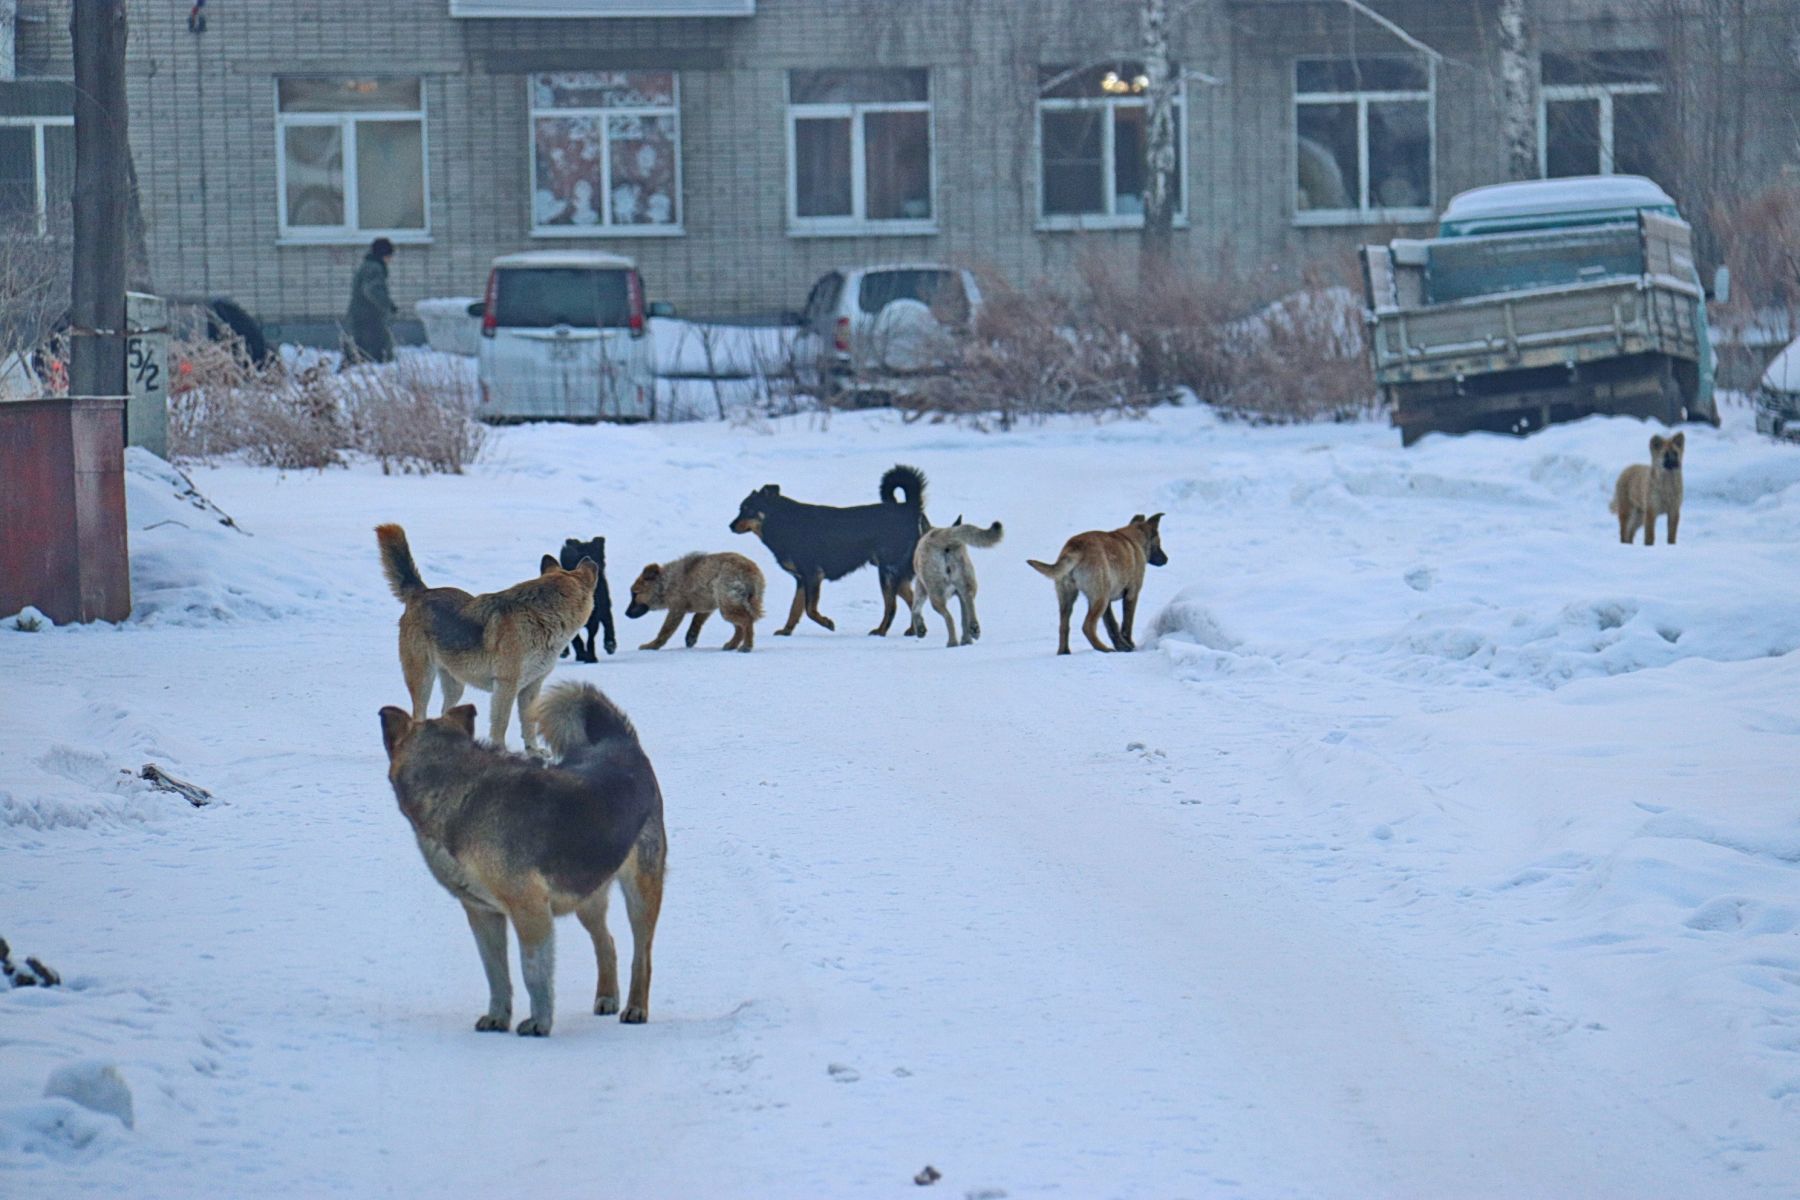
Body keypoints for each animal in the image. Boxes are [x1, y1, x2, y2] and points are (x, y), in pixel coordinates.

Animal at [372, 525, 597, 752]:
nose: (589, 558)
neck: (540, 617)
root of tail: (421, 592)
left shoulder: (532, 687)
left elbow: (529, 723)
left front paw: (534, 752)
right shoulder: (506, 685)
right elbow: (501, 724)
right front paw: (501, 752)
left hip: (455, 685)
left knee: (445, 712)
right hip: (423, 680)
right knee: (418, 716)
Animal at [622, 557, 763, 658]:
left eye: (635, 593)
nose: (626, 614)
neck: (665, 583)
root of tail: (749, 572)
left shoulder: (676, 609)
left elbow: (665, 631)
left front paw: (652, 646)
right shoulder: (708, 605)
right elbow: (697, 619)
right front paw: (691, 637)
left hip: (728, 608)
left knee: (747, 621)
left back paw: (746, 646)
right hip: (727, 605)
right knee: (740, 627)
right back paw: (732, 645)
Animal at [730, 464, 928, 636]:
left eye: (748, 509)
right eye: (741, 508)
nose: (730, 526)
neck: (781, 521)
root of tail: (909, 508)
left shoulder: (812, 575)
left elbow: (809, 609)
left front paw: (826, 622)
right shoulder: (802, 579)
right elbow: (795, 609)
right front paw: (786, 630)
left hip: (887, 571)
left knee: (891, 607)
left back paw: (881, 631)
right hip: (895, 573)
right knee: (912, 600)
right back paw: (915, 629)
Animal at [907, 518, 1008, 647]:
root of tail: (943, 534)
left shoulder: (921, 586)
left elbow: (915, 608)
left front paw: (920, 629)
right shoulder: (959, 594)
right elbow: (964, 618)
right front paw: (967, 639)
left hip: (936, 596)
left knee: (949, 618)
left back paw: (952, 642)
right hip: (967, 584)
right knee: (969, 602)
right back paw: (973, 630)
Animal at [1029, 510, 1166, 651]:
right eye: (1159, 543)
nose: (1166, 559)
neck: (1133, 540)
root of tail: (1075, 548)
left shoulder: (1108, 603)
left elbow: (1112, 625)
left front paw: (1122, 646)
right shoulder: (1131, 594)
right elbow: (1126, 624)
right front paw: (1129, 645)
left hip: (1068, 598)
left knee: (1064, 626)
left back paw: (1064, 652)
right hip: (1100, 597)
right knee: (1087, 626)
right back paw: (1104, 649)